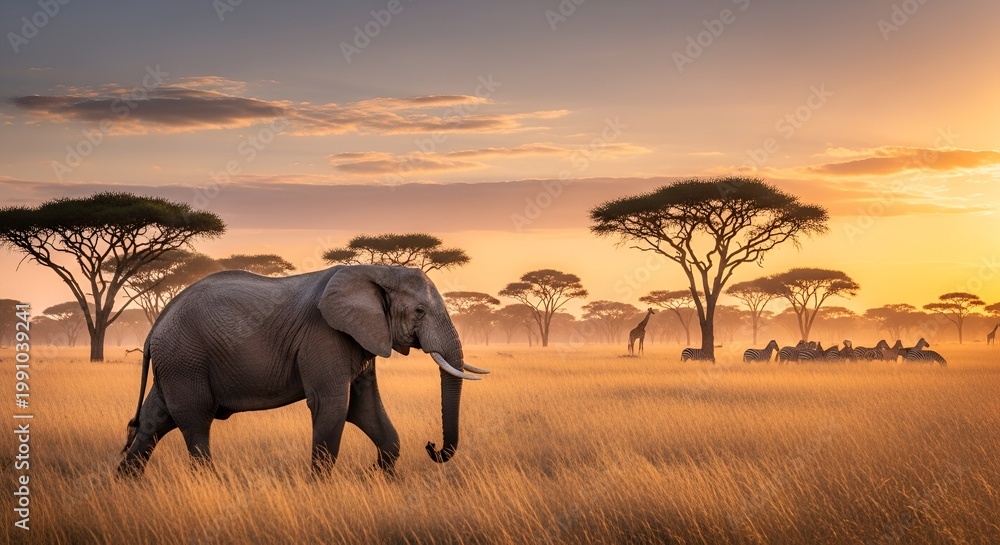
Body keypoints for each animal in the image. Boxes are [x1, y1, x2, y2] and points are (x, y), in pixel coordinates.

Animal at [116, 264, 489, 477]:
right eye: (420, 311)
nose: (431, 445)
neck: (377, 271)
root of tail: (157, 324)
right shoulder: (324, 335)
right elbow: (334, 406)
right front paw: (321, 489)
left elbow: (365, 408)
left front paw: (374, 479)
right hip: (185, 360)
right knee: (194, 422)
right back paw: (210, 484)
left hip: (176, 363)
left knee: (154, 421)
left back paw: (125, 486)